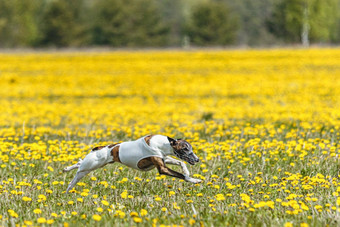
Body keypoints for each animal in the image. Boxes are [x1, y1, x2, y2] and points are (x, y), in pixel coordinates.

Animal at [63, 135, 202, 193]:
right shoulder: (162, 168)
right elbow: (181, 175)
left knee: (78, 166)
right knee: (78, 169)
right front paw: (194, 180)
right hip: (90, 165)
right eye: (185, 148)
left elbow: (181, 162)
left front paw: (187, 171)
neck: (163, 144)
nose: (197, 159)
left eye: (191, 148)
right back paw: (67, 173)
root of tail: (99, 148)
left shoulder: (163, 159)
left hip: (92, 166)